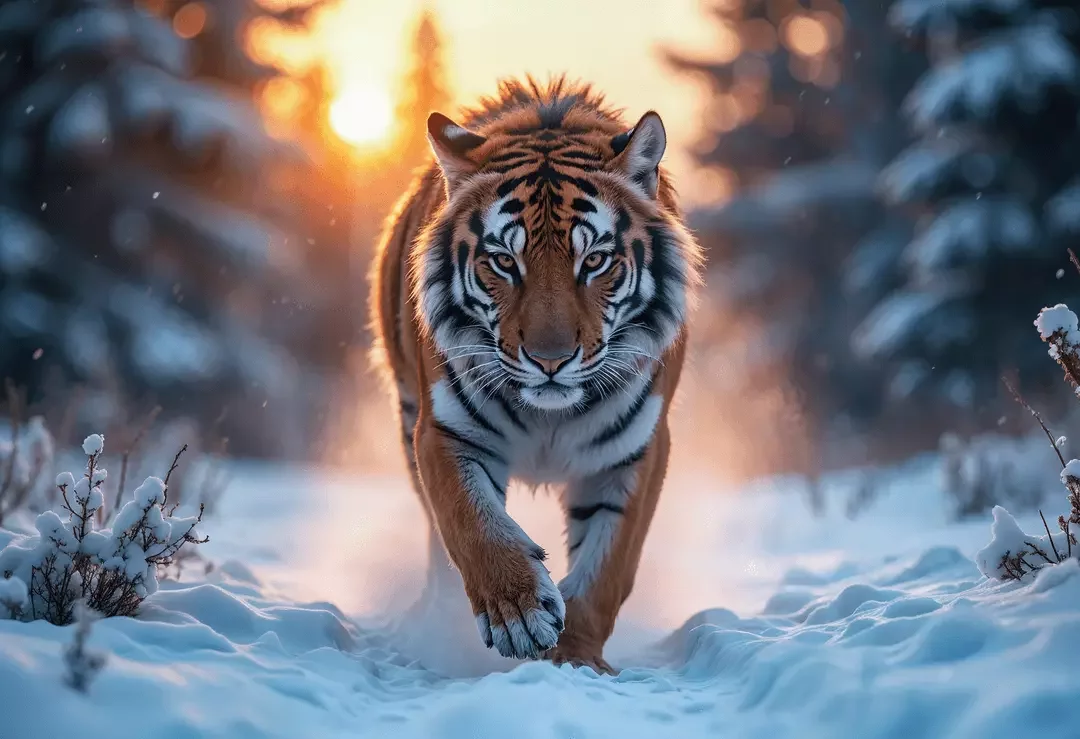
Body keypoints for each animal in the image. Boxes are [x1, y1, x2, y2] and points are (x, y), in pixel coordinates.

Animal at [369, 76, 702, 674]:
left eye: (594, 261)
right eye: (504, 261)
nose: (551, 359)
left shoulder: (635, 451)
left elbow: (606, 567)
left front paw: (575, 659)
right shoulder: (443, 432)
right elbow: (474, 525)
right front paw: (520, 617)